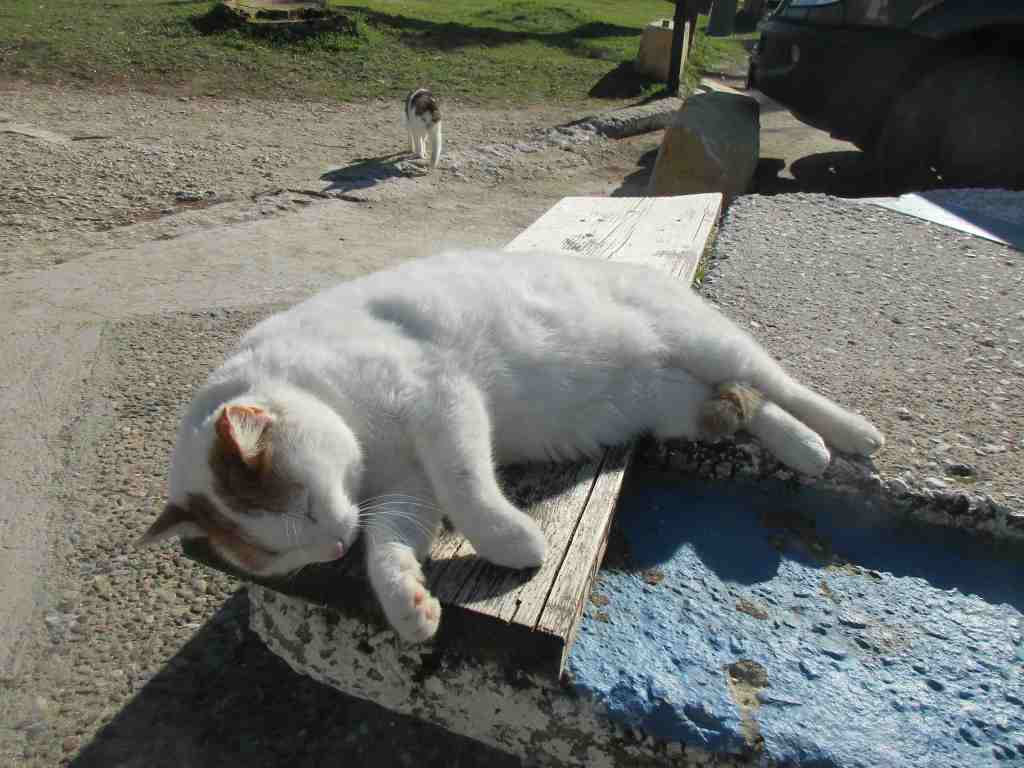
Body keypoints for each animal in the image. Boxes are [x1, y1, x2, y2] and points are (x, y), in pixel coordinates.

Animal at [141, 249, 884, 643]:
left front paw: (511, 540)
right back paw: (801, 445)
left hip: (707, 339)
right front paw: (409, 606)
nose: (329, 548)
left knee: (779, 382)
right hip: (673, 401)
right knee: (745, 403)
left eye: (308, 511)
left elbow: (468, 485)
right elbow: (388, 550)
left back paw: (844, 432)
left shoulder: (442, 398)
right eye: (283, 555)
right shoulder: (404, 492)